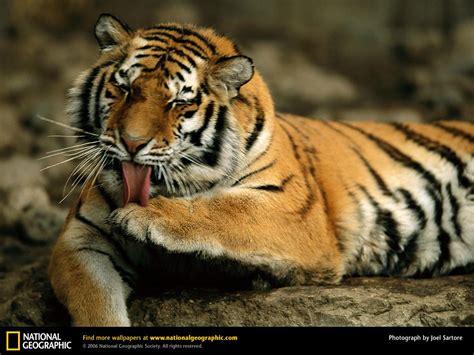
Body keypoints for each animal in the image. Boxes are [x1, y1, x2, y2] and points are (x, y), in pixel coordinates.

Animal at [47, 13, 474, 326]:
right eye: (124, 89)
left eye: (178, 103)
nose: (133, 143)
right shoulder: (81, 242)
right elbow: (96, 306)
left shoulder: (294, 210)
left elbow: (225, 209)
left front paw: (143, 216)